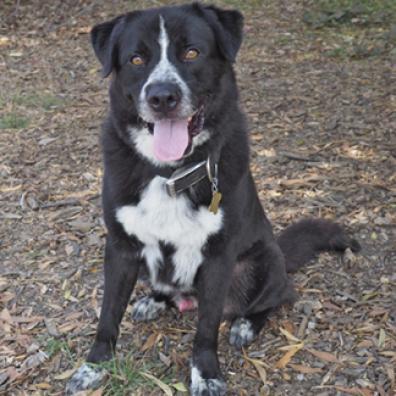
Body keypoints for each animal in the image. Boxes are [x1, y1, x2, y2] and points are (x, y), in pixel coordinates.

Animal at [66, 2, 360, 392]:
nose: (162, 97)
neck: (169, 173)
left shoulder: (219, 257)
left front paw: (205, 374)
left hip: (264, 261)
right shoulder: (120, 247)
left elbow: (206, 330)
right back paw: (154, 301)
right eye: (136, 59)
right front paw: (93, 366)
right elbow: (107, 315)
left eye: (192, 52)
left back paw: (246, 324)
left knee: (278, 295)